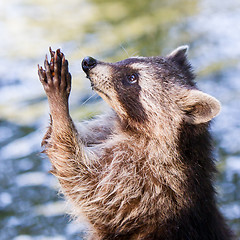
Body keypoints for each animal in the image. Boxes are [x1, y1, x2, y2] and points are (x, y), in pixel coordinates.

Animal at [38, 47, 233, 240]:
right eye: (125, 60)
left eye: (132, 77)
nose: (88, 62)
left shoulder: (144, 180)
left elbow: (82, 179)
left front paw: (59, 109)